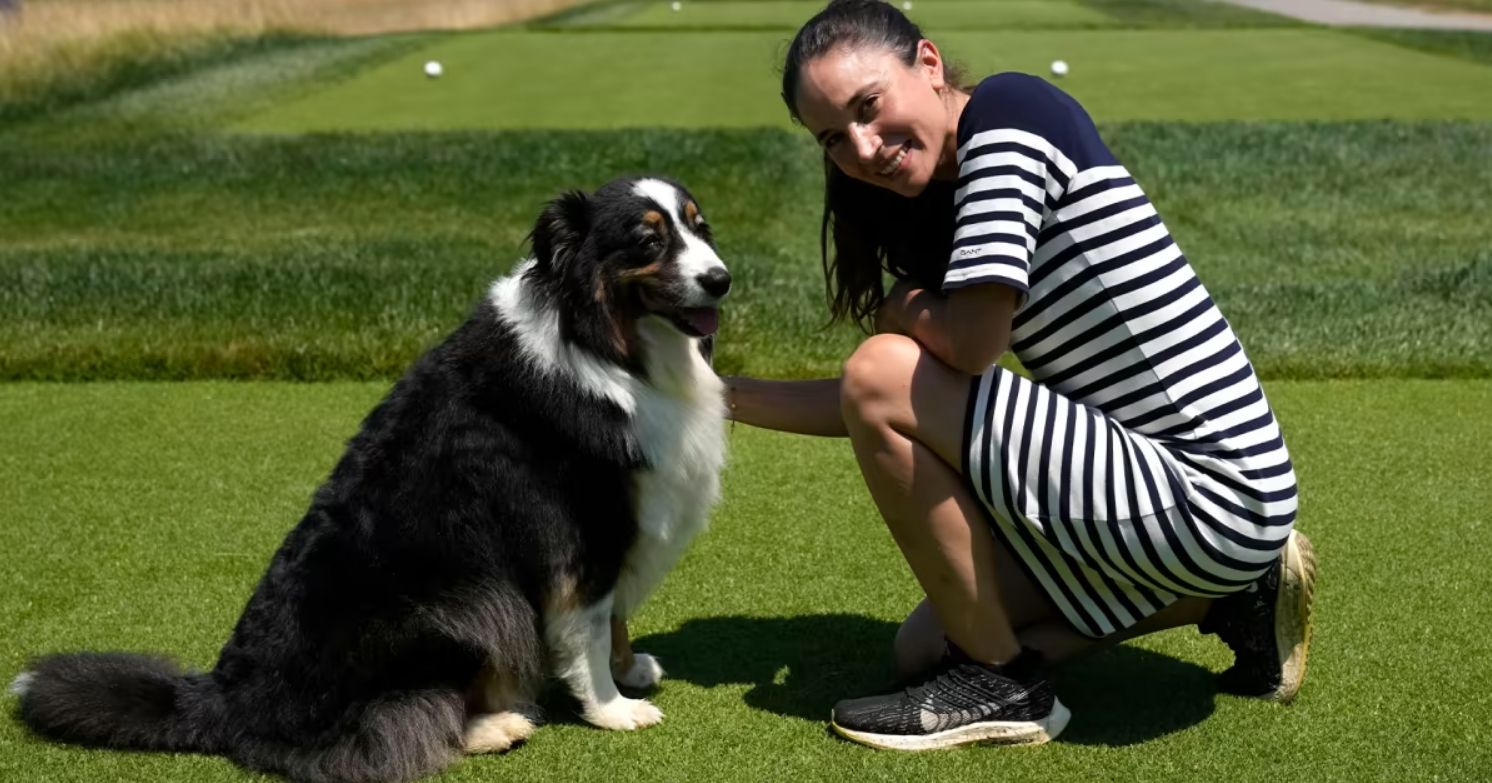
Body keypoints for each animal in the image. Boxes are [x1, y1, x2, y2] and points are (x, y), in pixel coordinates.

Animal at [10, 176, 734, 781]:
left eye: (701, 227)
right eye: (648, 240)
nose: (722, 279)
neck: (605, 343)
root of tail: (225, 698)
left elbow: (616, 615)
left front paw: (628, 668)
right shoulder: (584, 524)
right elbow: (589, 623)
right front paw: (611, 708)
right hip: (465, 600)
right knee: (390, 728)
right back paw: (493, 724)